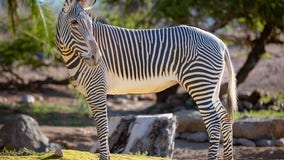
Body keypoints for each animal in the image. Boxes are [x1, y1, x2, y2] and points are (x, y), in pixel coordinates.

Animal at [55, 0, 237, 160]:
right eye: (74, 23)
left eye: (90, 25)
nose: (97, 58)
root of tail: (220, 43)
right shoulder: (90, 93)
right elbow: (99, 128)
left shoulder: (96, 88)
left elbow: (102, 128)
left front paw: (104, 157)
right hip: (211, 87)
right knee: (225, 117)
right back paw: (228, 157)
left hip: (200, 83)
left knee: (214, 123)